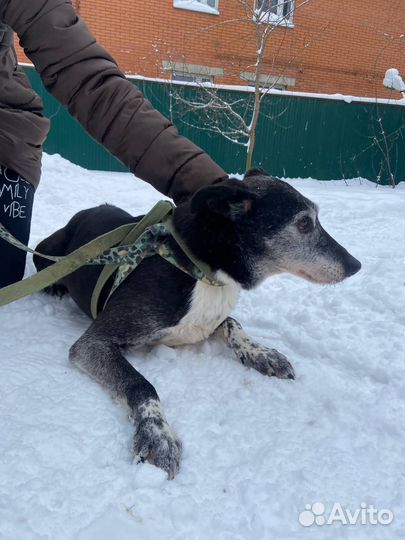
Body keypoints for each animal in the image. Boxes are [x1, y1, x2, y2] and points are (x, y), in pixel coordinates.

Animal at [32, 169, 360, 476]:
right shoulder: (95, 341)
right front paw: (157, 435)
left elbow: (233, 324)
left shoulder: (209, 320)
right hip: (52, 250)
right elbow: (140, 383)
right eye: (304, 223)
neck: (200, 269)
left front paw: (262, 353)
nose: (356, 265)